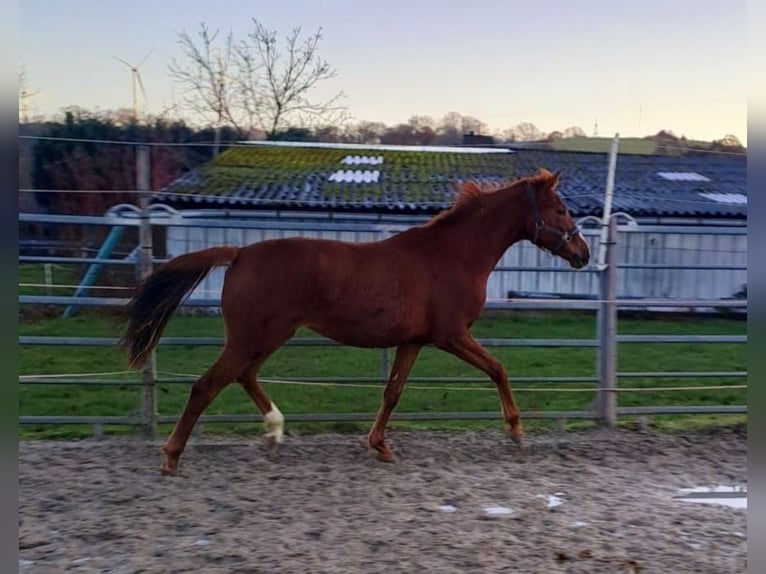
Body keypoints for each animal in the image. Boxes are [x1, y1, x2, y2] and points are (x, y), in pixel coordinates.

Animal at [120, 169, 592, 474]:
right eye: (560, 209)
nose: (583, 254)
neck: (451, 256)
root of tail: (239, 254)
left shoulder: (414, 341)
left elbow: (392, 393)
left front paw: (379, 446)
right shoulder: (452, 335)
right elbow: (498, 369)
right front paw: (516, 431)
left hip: (266, 336)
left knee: (242, 376)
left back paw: (274, 431)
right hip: (255, 336)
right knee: (207, 385)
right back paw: (172, 457)